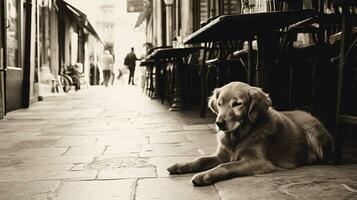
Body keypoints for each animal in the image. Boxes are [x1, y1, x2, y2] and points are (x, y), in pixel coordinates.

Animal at [165, 81, 332, 186]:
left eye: (237, 104)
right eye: (219, 104)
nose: (219, 123)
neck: (237, 137)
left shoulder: (258, 162)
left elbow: (226, 166)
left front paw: (205, 175)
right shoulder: (221, 155)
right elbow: (201, 159)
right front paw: (181, 165)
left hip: (313, 132)